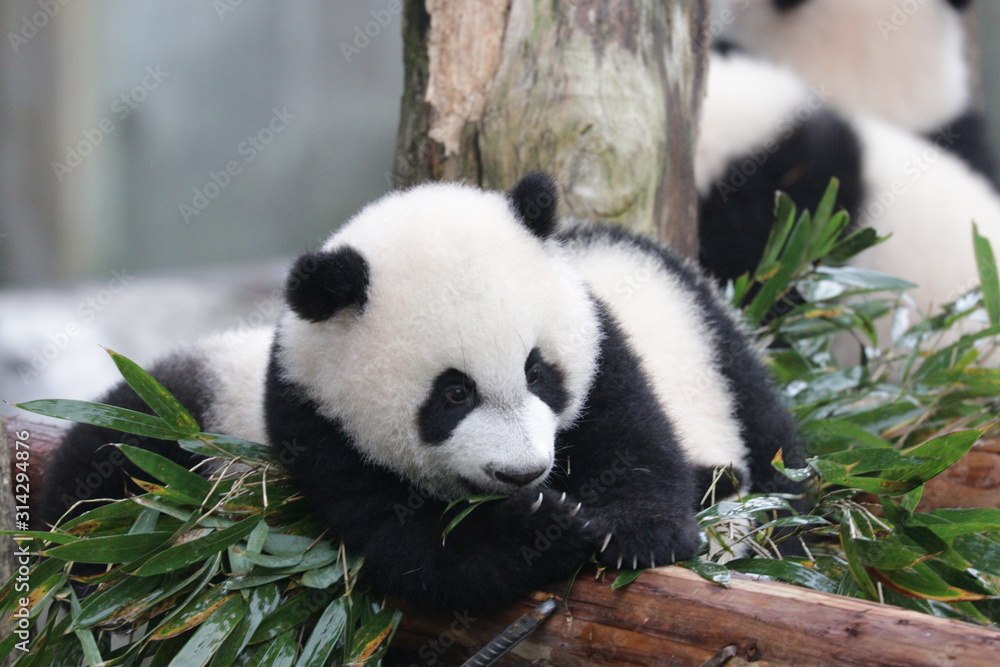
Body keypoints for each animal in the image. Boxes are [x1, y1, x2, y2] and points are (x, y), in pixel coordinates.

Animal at [40, 173, 803, 614]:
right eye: (452, 393)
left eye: (538, 370)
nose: (524, 472)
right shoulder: (317, 425)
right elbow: (421, 550)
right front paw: (543, 528)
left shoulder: (605, 349)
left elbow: (633, 443)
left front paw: (638, 532)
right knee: (106, 465)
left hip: (712, 340)